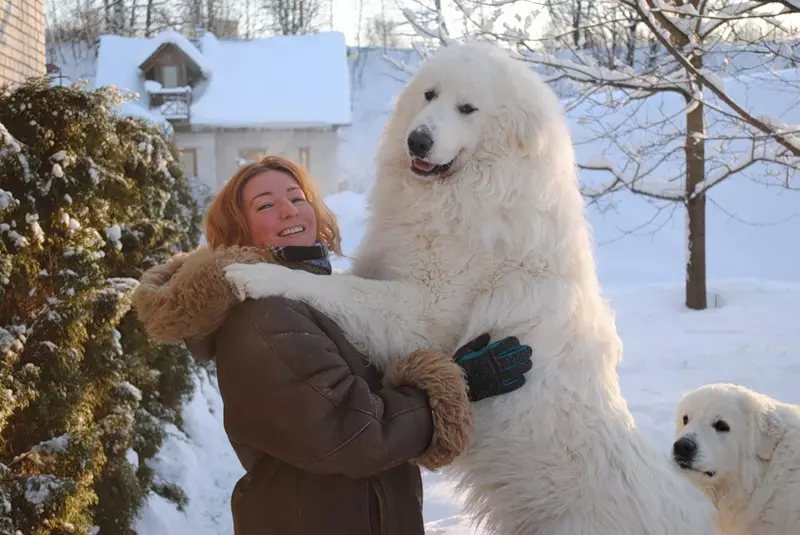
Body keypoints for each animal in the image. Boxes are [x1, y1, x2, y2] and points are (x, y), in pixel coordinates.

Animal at [223, 39, 720, 532]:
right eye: (429, 95)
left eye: (467, 108)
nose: (417, 140)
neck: (470, 193)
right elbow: (344, 282)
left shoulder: (421, 312)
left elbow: (340, 290)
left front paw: (255, 274)